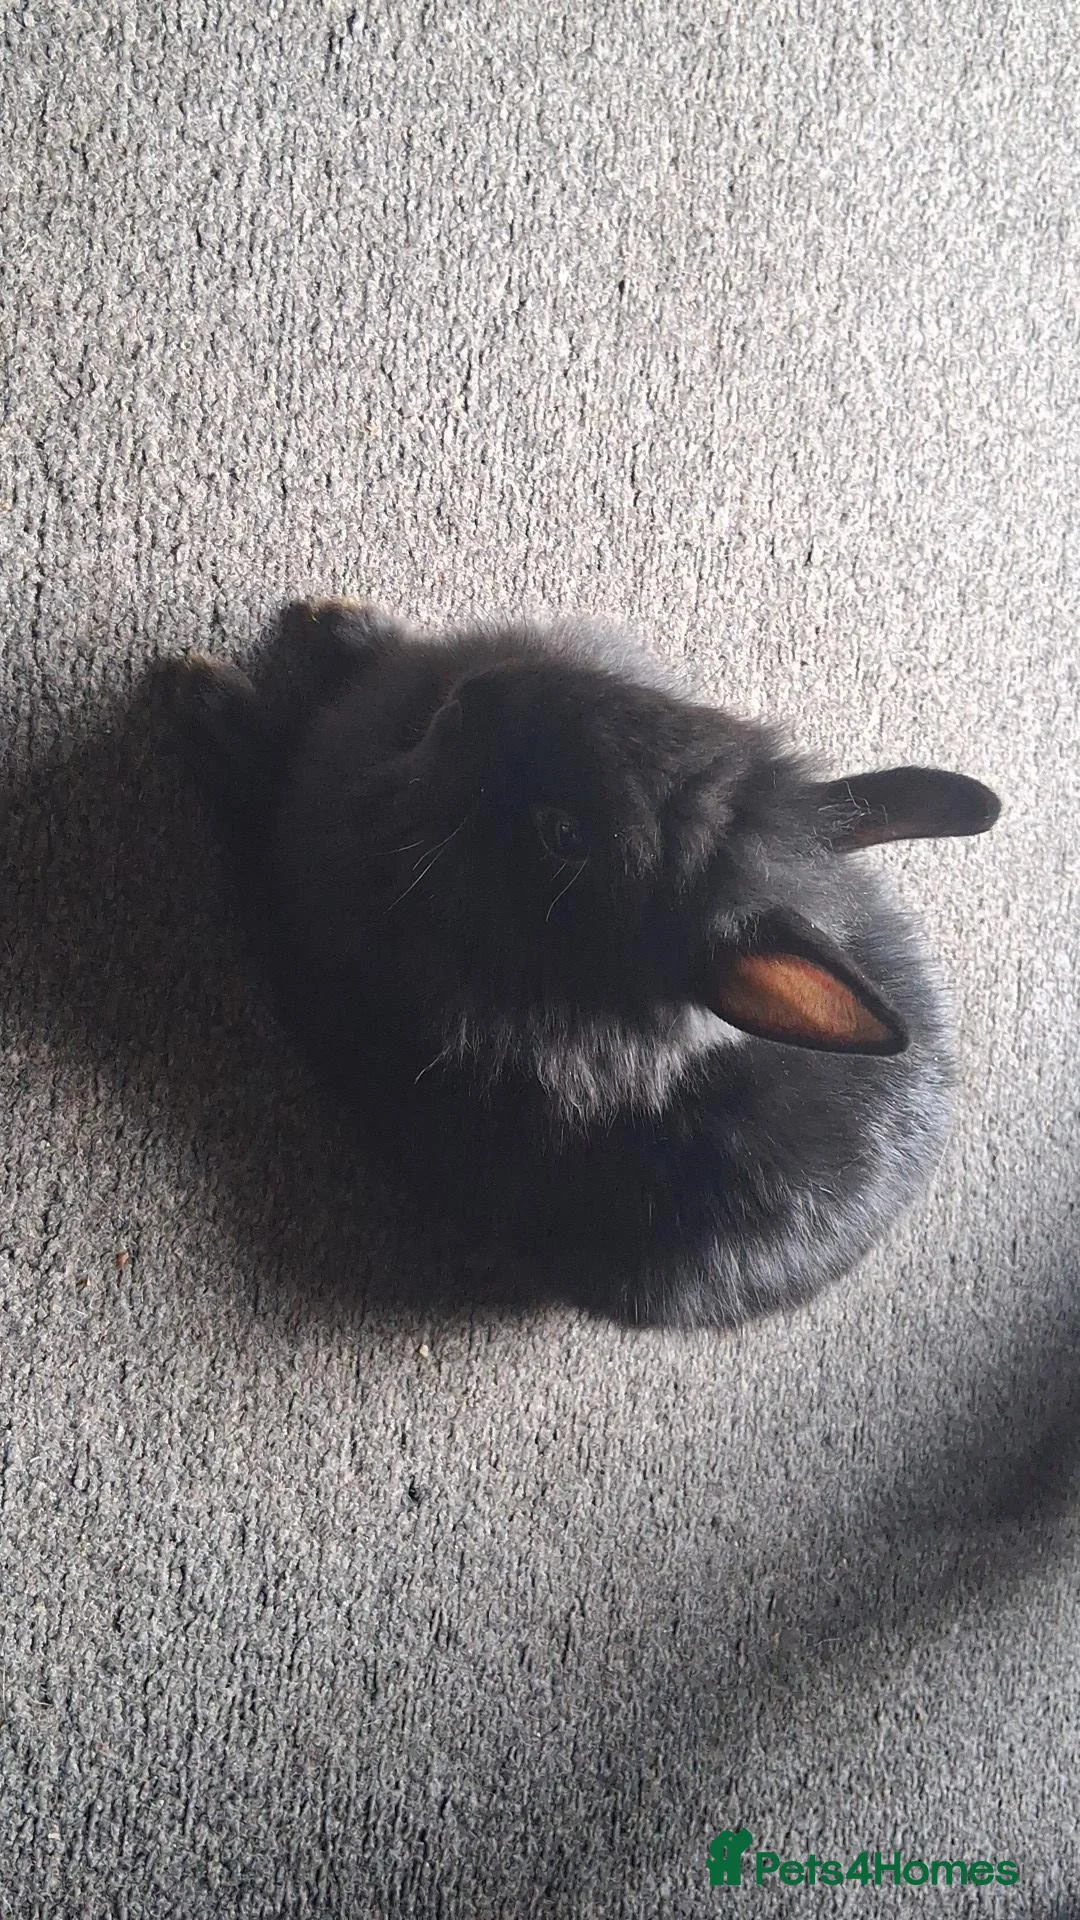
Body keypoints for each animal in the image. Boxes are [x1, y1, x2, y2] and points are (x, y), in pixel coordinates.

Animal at [157, 600, 1001, 1330]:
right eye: (654, 715)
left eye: (563, 836)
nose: (471, 697)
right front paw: (337, 622)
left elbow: (268, 798)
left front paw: (207, 696)